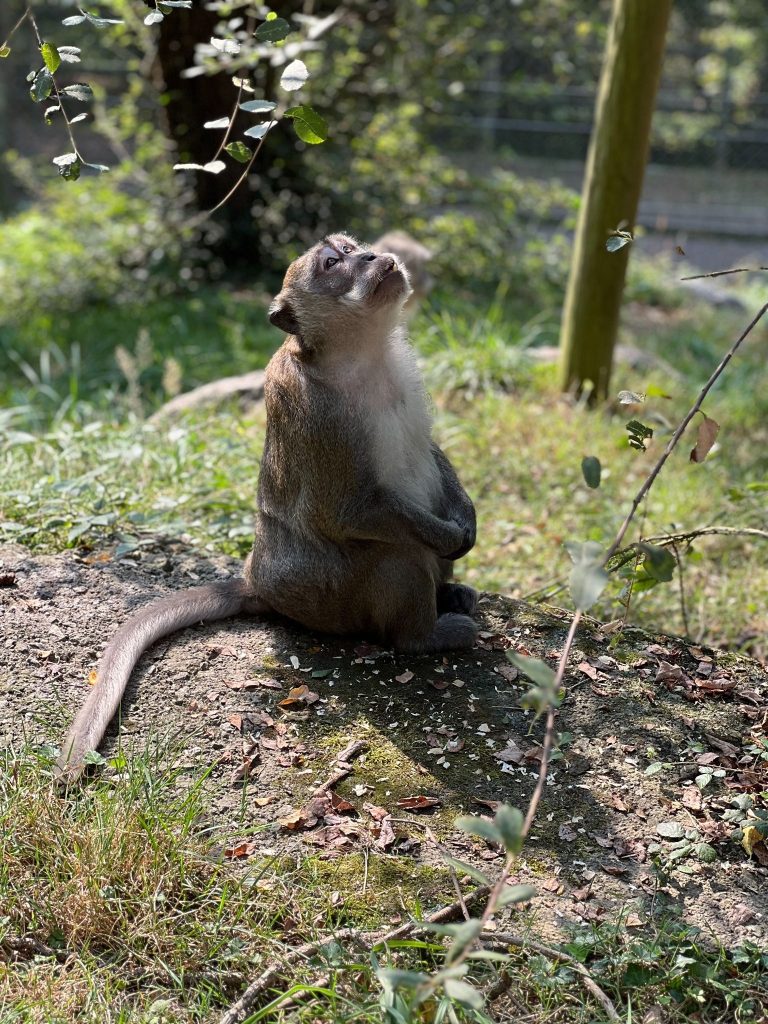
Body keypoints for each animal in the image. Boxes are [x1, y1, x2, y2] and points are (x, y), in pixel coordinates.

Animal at [56, 234, 477, 780]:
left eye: (352, 247)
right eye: (333, 263)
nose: (370, 257)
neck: (361, 353)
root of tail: (258, 579)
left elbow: (430, 452)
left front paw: (466, 521)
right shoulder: (319, 410)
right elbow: (347, 511)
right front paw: (446, 538)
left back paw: (450, 593)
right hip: (331, 599)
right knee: (397, 555)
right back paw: (425, 635)